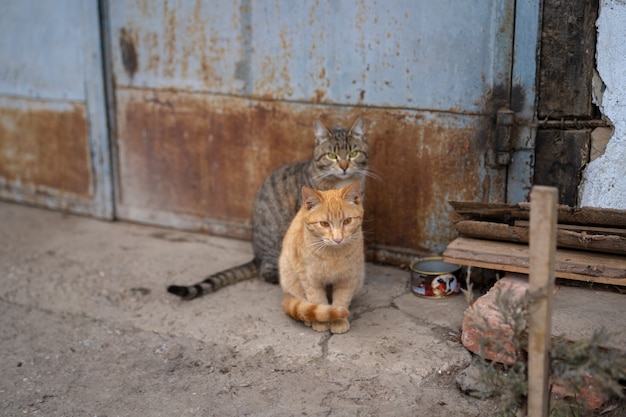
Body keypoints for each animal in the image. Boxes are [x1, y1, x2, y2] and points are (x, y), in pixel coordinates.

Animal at [280, 180, 364, 334]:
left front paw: (339, 321)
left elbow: (342, 300)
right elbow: (317, 299)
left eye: (347, 221)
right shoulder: (310, 279)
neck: (333, 254)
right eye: (324, 224)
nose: (338, 239)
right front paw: (322, 321)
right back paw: (308, 318)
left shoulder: (349, 278)